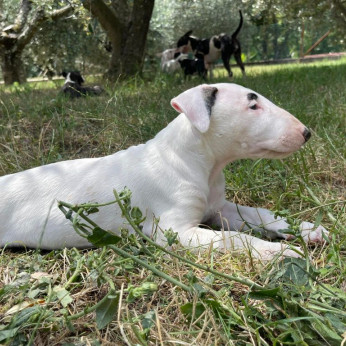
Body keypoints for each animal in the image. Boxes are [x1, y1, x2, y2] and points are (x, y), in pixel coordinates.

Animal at [0, 82, 330, 258]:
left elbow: (260, 214)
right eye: (253, 106)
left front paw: (309, 230)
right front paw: (279, 253)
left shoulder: (219, 208)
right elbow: (234, 239)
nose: (306, 133)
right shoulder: (173, 230)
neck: (196, 163)